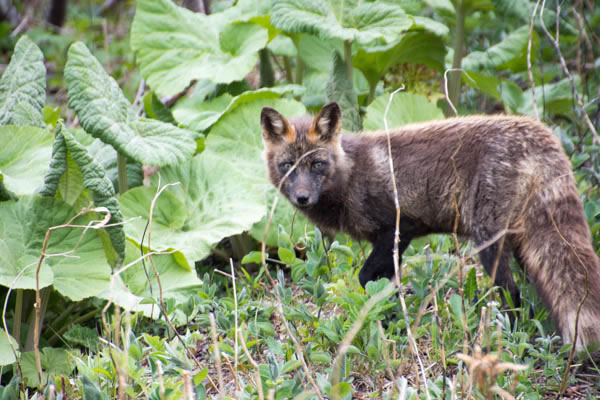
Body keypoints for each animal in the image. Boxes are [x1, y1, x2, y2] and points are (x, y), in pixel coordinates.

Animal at [260, 102, 600, 353]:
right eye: (287, 166)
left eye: (317, 165)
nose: (302, 198)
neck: (351, 174)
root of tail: (540, 131)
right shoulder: (392, 243)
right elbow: (386, 288)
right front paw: (392, 323)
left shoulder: (399, 228)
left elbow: (365, 278)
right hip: (523, 247)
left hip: (489, 244)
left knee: (513, 296)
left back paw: (508, 342)